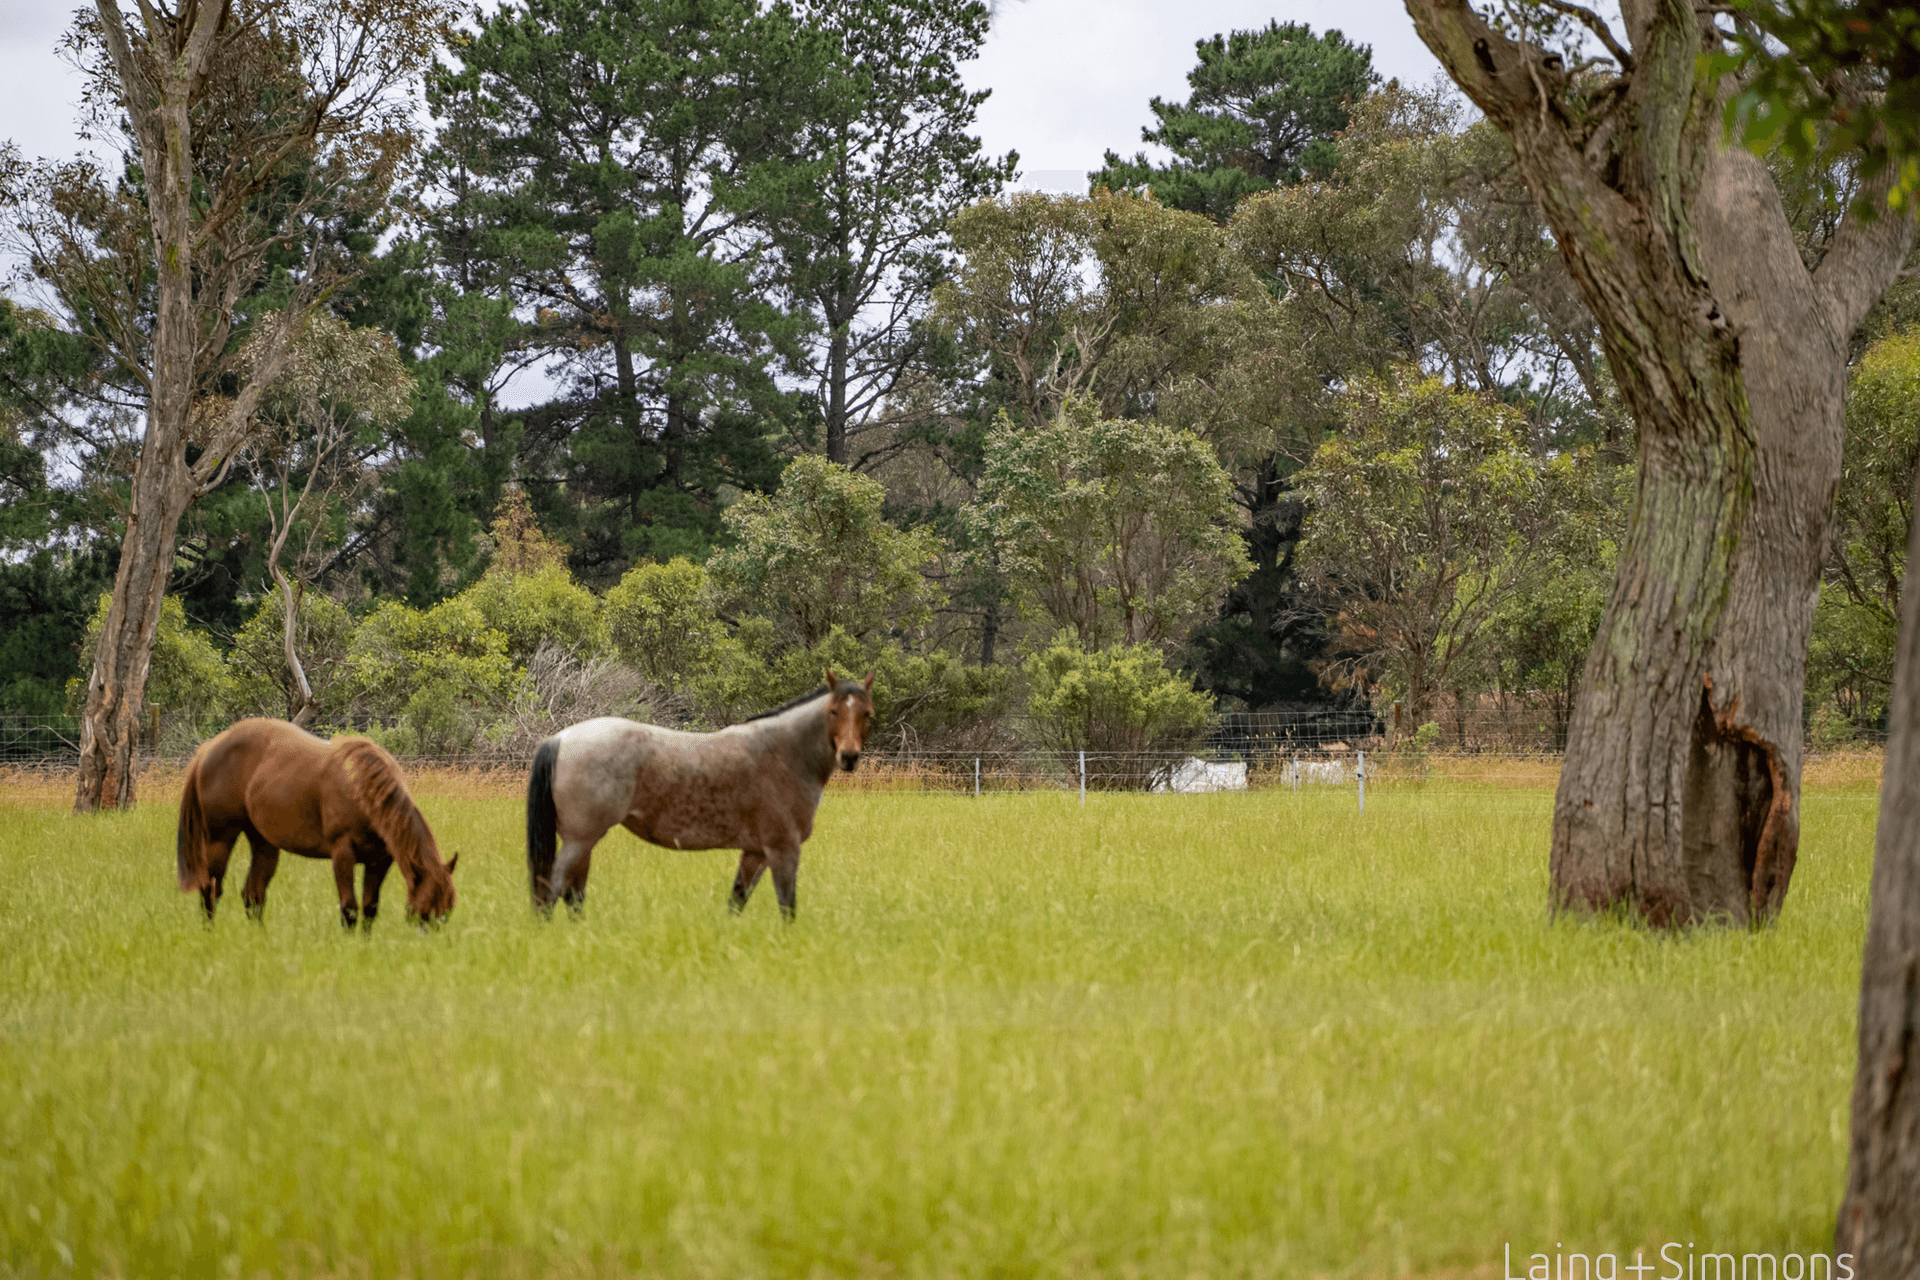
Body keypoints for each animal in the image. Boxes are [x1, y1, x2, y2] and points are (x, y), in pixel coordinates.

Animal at [180, 717, 464, 924]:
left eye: (446, 911)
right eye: (425, 912)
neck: (362, 789)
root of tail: (210, 746)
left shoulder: (379, 861)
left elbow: (369, 908)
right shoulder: (342, 854)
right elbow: (349, 908)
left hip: (263, 841)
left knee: (253, 895)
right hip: (220, 838)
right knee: (211, 889)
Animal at [522, 671, 875, 921]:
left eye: (867, 714)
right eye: (833, 711)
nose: (849, 757)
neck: (784, 754)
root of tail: (560, 737)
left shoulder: (755, 853)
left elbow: (736, 902)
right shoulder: (782, 849)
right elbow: (787, 907)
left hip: (583, 843)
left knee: (572, 897)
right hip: (579, 840)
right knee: (550, 893)